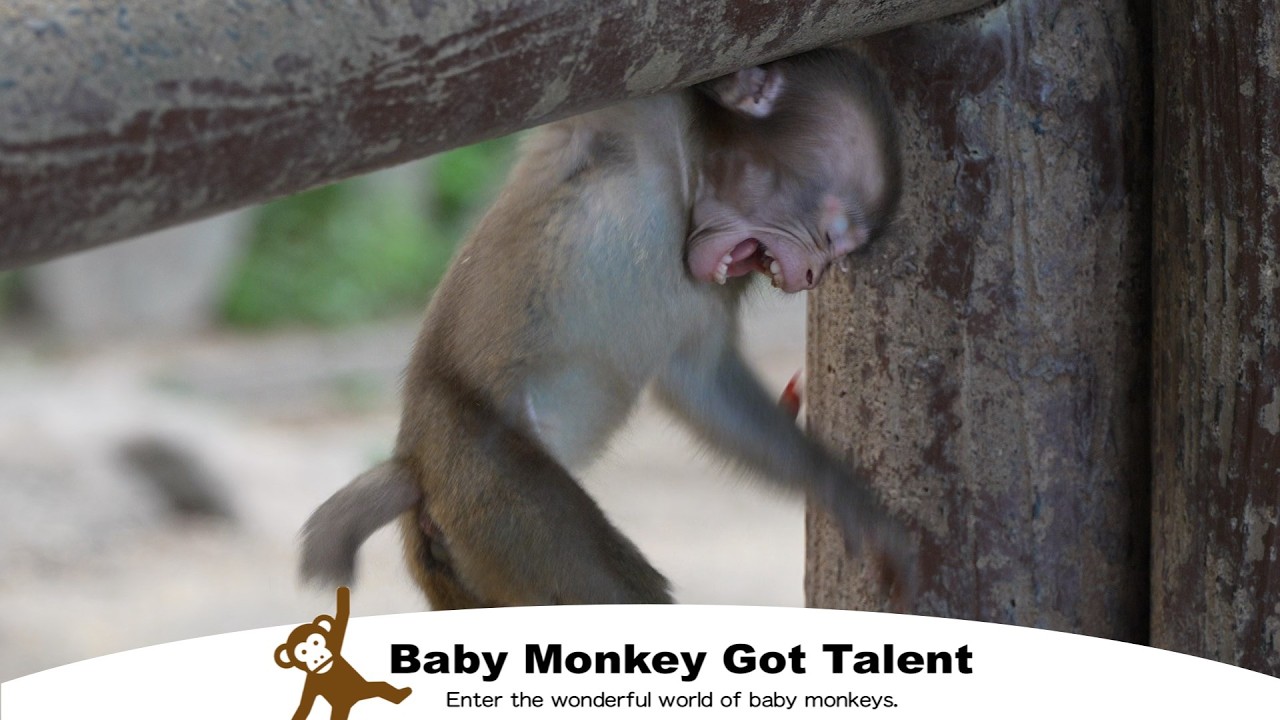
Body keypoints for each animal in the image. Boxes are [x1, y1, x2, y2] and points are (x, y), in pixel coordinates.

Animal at [275, 586, 412, 720]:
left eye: (316, 642)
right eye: (303, 652)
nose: (318, 656)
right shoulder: (311, 684)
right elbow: (305, 705)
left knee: (381, 686)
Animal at [300, 48, 911, 608]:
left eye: (838, 249)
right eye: (832, 232)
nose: (813, 274)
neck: (683, 182)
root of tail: (414, 460)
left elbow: (701, 383)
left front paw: (837, 491)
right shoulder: (640, 119)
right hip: (490, 480)